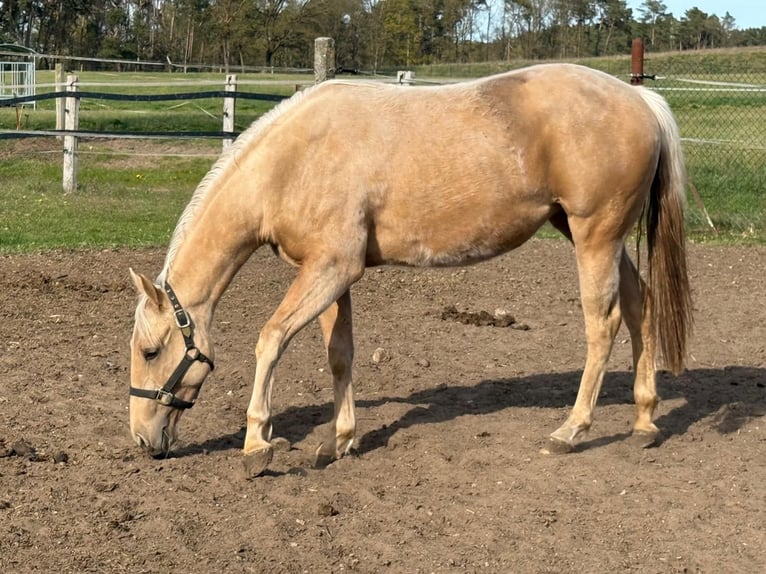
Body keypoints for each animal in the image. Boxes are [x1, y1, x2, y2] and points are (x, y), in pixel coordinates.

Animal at [128, 63, 692, 478]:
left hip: (596, 236)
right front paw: (339, 441)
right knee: (640, 307)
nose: (141, 438)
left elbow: (271, 339)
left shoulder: (331, 269)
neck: (293, 161)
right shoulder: (330, 274)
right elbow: (339, 355)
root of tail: (640, 99)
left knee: (604, 323)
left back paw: (571, 431)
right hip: (594, 235)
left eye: (150, 351)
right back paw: (644, 422)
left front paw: (256, 445)